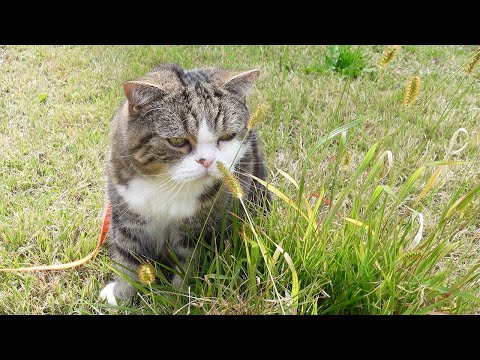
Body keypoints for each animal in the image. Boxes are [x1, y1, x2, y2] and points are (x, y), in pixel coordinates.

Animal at [100, 63, 270, 306]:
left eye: (228, 136)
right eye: (178, 141)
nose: (208, 161)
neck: (168, 184)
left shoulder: (199, 226)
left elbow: (189, 261)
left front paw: (180, 298)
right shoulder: (127, 212)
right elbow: (127, 255)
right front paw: (122, 294)